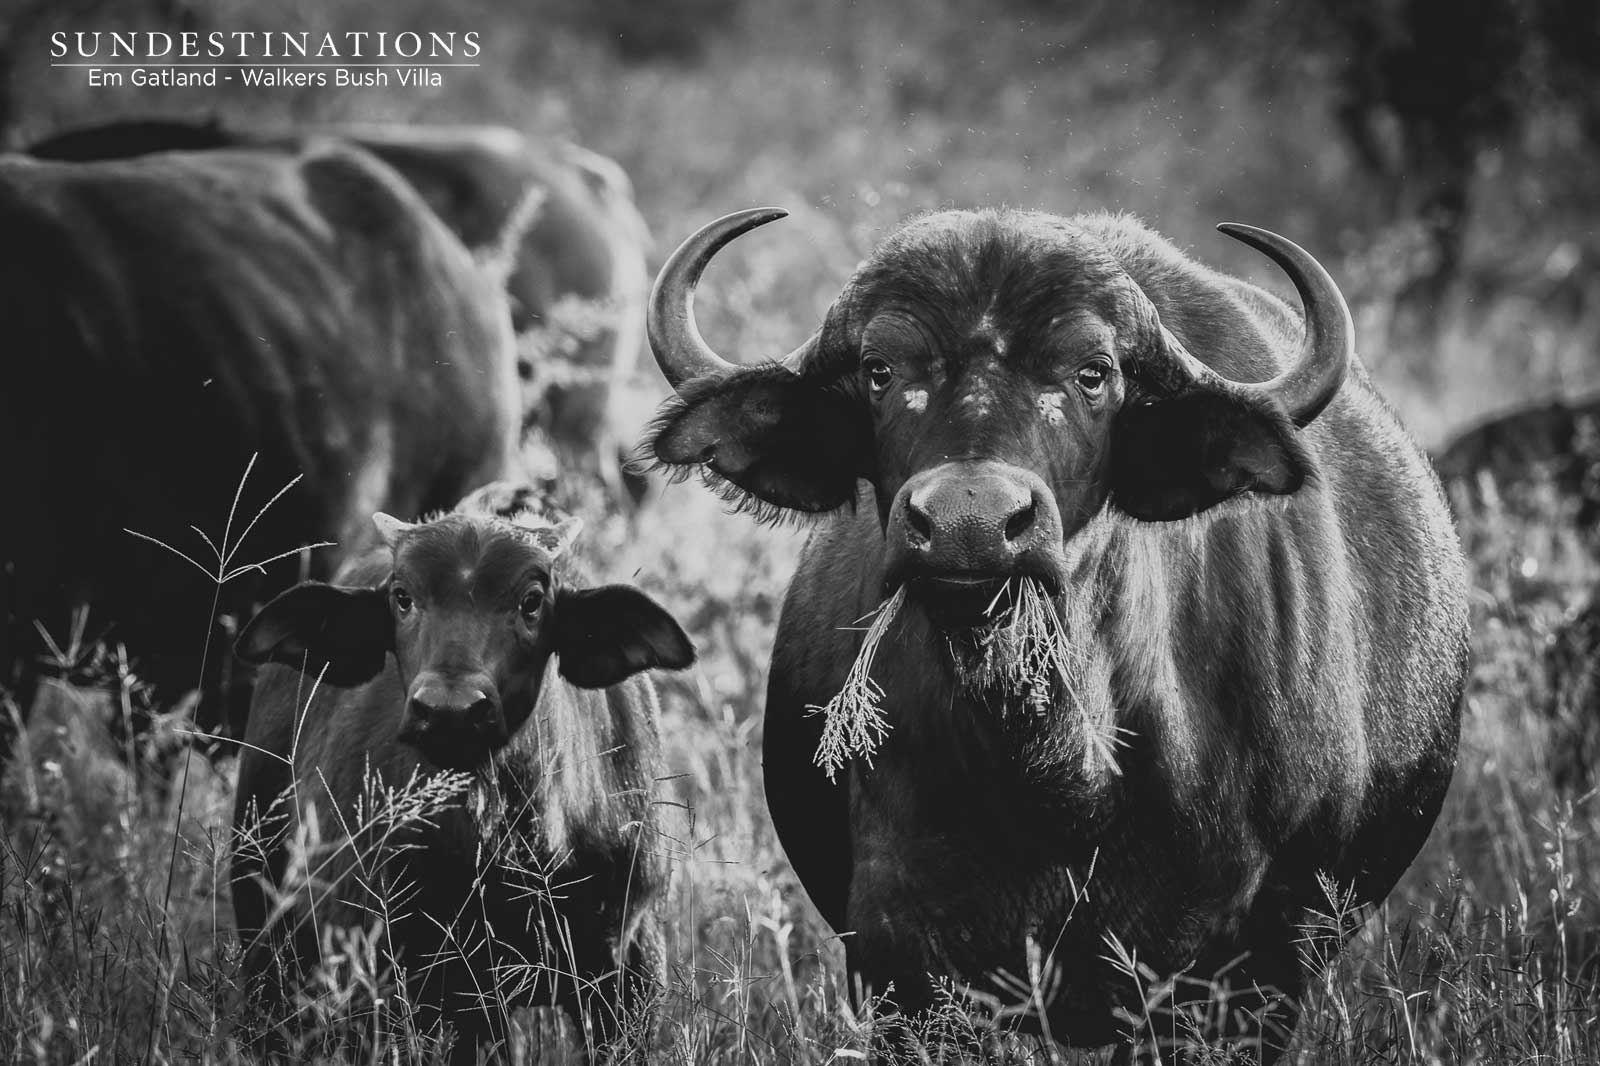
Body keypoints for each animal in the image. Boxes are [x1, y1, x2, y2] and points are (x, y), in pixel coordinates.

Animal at [643, 208, 1470, 1059]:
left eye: (1092, 372)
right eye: (879, 369)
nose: (969, 523)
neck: (1063, 782)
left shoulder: (1238, 977)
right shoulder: (905, 967)